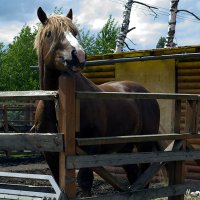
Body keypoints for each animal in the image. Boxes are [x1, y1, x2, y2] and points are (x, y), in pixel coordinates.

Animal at [33, 7, 160, 195]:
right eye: (50, 34)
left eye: (74, 32)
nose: (78, 55)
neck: (57, 105)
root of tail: (145, 92)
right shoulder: (51, 153)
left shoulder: (89, 148)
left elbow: (85, 181)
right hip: (125, 147)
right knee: (133, 175)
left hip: (144, 144)